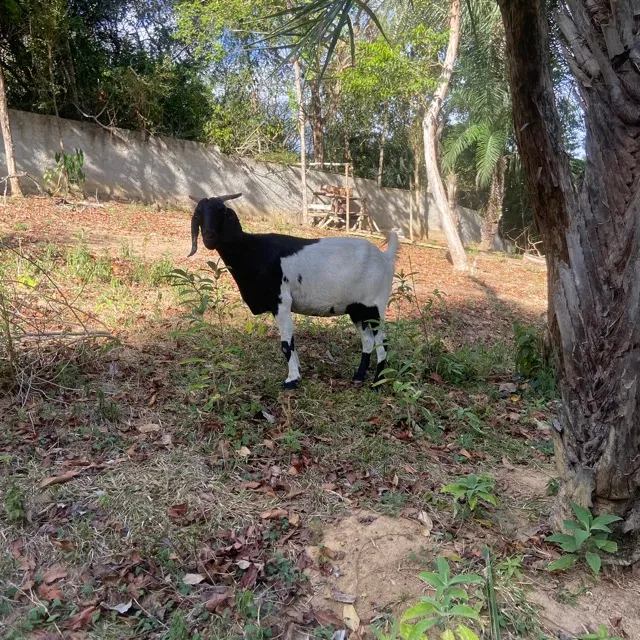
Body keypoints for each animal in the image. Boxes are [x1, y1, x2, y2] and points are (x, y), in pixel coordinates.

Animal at [187, 193, 399, 389]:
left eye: (221, 211)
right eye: (199, 213)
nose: (209, 237)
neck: (252, 251)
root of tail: (385, 258)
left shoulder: (281, 303)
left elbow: (286, 344)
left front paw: (291, 380)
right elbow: (292, 341)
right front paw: (298, 374)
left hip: (374, 306)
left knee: (383, 341)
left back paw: (377, 383)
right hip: (356, 309)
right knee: (368, 341)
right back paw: (359, 376)